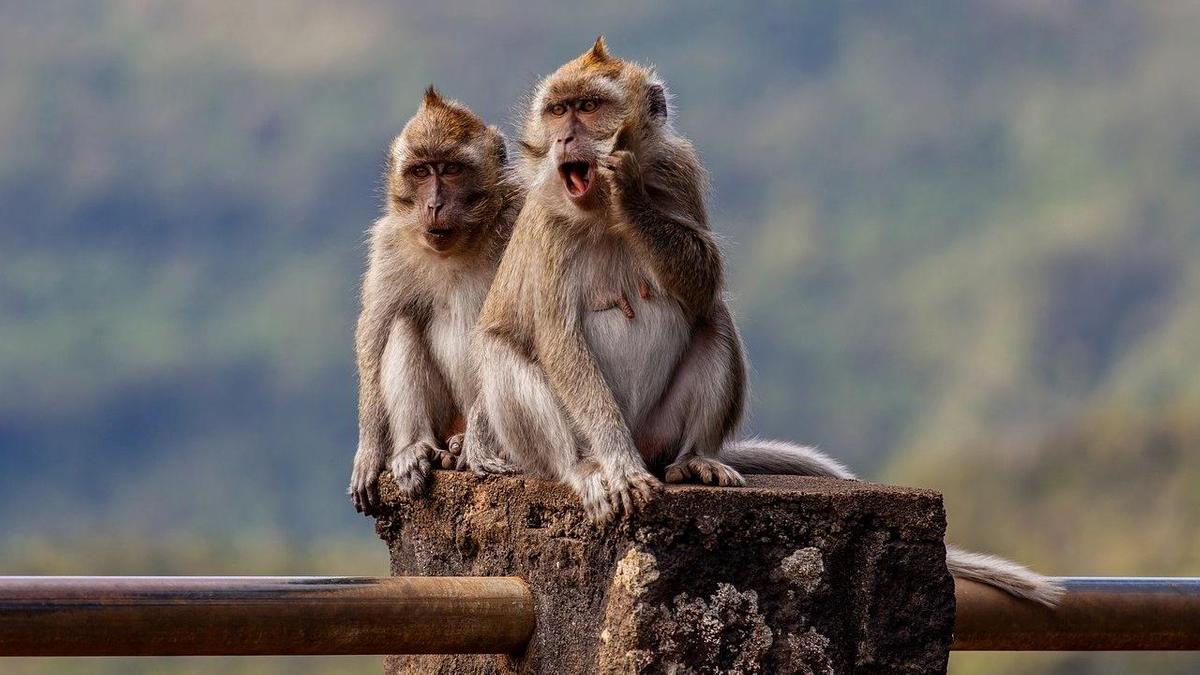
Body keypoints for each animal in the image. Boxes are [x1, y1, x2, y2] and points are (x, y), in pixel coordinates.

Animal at [348, 86, 516, 511]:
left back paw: (465, 444)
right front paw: (369, 450)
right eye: (421, 172)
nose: (434, 205)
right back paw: (416, 448)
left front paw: (479, 444)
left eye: (452, 170)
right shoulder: (390, 243)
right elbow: (374, 332)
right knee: (403, 322)